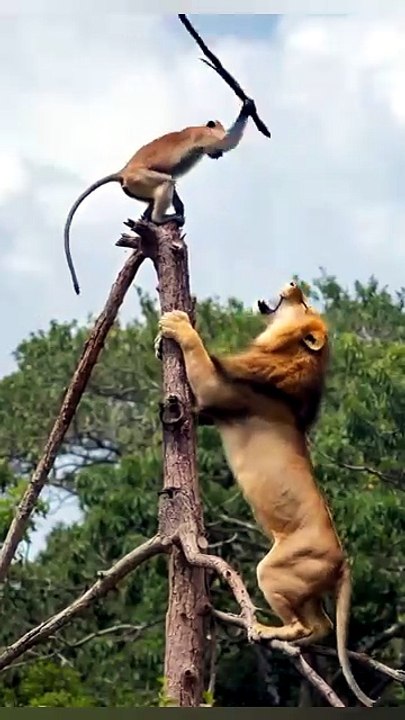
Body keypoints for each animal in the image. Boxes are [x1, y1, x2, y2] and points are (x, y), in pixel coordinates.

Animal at [64, 98, 255, 295]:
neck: (200, 127)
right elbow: (226, 142)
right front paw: (247, 107)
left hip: (135, 187)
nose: (218, 156)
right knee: (167, 182)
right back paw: (159, 219)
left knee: (162, 188)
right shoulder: (204, 137)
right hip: (141, 179)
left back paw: (148, 218)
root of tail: (123, 172)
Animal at [155, 281, 375, 707]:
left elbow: (198, 353)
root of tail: (344, 562)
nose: (293, 283)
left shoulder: (218, 392)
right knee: (322, 625)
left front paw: (177, 323)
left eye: (305, 304)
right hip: (304, 587)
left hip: (273, 571)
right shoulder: (210, 410)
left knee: (303, 624)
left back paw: (269, 631)